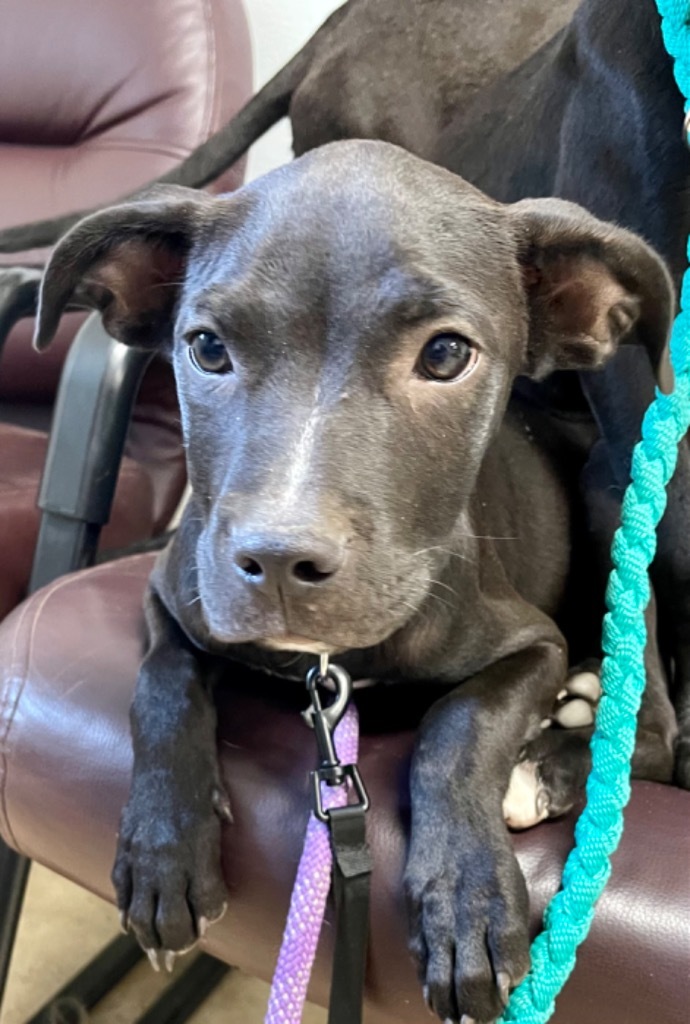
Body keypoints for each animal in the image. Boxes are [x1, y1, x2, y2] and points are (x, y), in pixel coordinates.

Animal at [33, 144, 671, 1024]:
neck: (328, 664)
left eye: (445, 355)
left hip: (618, 513)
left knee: (657, 728)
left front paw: (465, 900)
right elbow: (160, 686)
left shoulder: (531, 642)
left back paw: (550, 761)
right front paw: (163, 853)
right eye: (206, 347)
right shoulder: (173, 593)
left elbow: (460, 726)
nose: (277, 561)